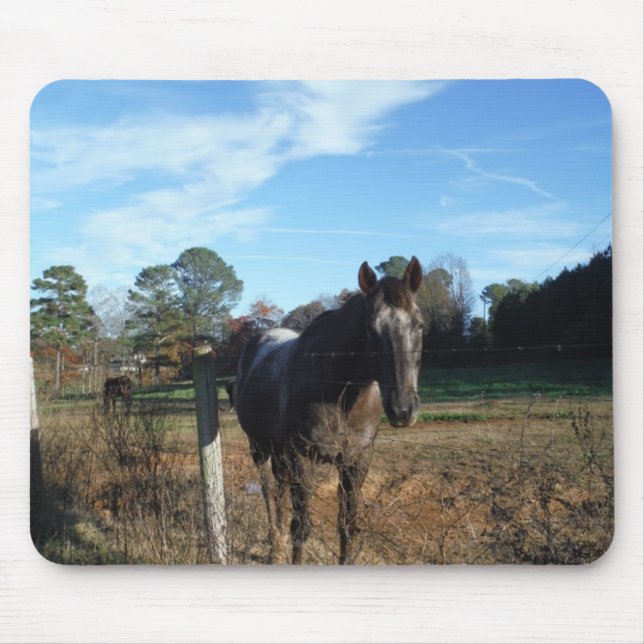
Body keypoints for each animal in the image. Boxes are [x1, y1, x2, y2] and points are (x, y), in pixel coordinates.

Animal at [235, 257, 423, 564]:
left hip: (279, 454)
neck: (340, 393)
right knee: (269, 495)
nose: (403, 408)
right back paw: (274, 548)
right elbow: (302, 527)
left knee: (279, 493)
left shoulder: (356, 461)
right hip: (259, 449)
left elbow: (347, 525)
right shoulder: (300, 457)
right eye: (370, 327)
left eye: (419, 325)